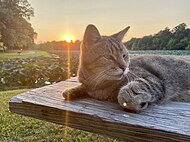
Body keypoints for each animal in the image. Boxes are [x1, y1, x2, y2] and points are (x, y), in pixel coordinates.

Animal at [62, 24, 190, 112]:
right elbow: (81, 87)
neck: (97, 85)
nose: (124, 67)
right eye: (109, 57)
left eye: (124, 55)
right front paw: (71, 91)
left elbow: (129, 90)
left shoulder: (152, 79)